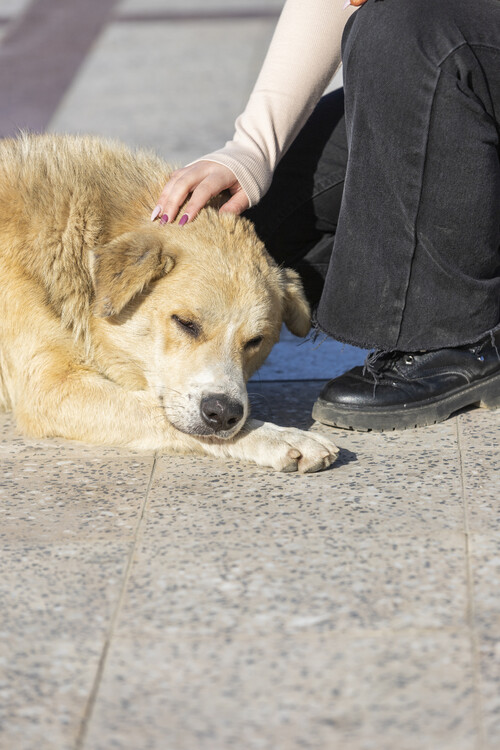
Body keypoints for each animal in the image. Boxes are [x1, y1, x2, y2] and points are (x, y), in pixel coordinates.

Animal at [0, 134, 340, 476]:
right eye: (185, 323)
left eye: (256, 341)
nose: (223, 413)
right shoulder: (49, 390)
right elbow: (156, 411)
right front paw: (277, 437)